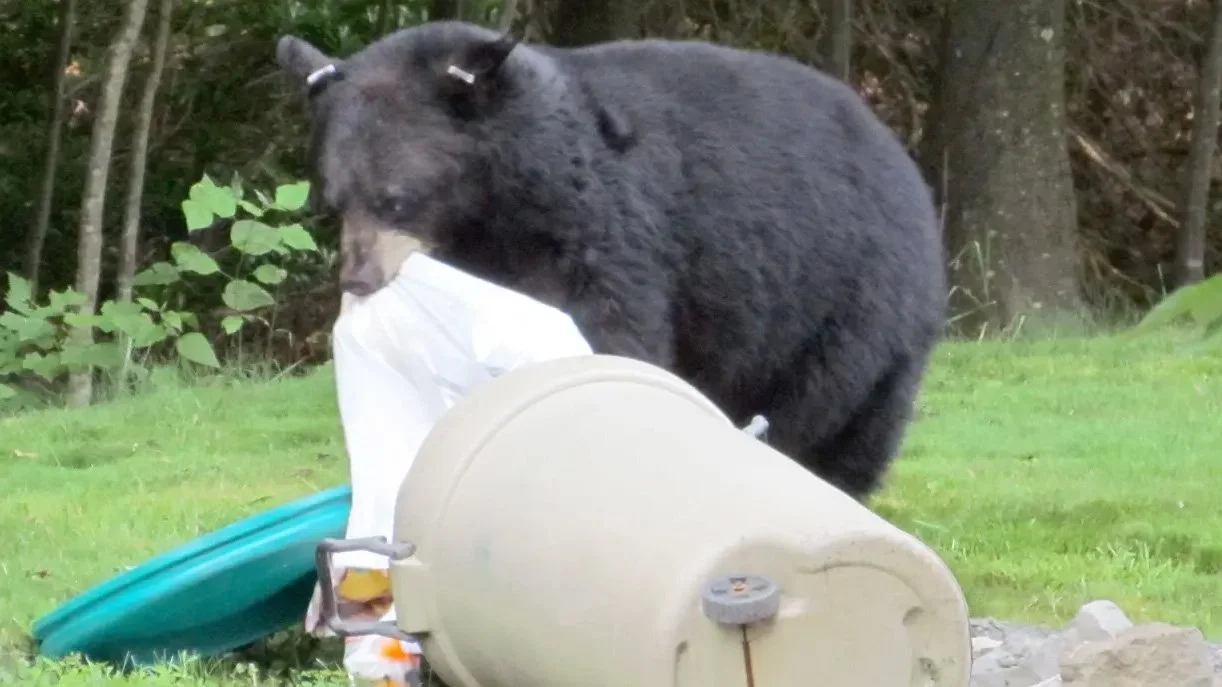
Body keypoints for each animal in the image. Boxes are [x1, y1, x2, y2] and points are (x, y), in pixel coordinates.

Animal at [274, 21, 947, 502]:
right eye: (335, 200)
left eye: (396, 198)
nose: (359, 277)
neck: (503, 200)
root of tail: (901, 159)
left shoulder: (603, 223)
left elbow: (610, 327)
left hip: (847, 309)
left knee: (838, 423)